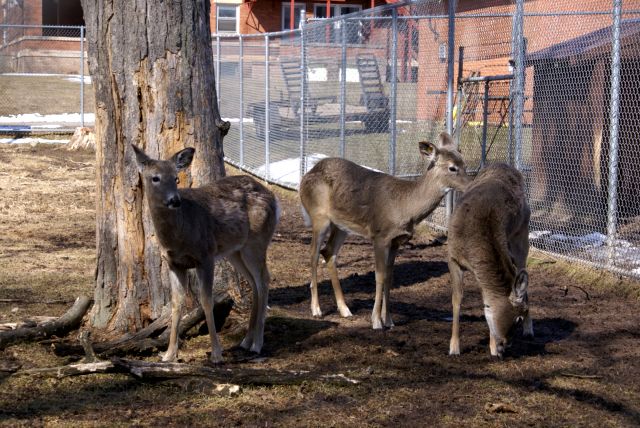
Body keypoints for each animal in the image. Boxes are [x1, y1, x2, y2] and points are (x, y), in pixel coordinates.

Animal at [132, 145, 280, 364]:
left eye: (176, 178)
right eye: (155, 178)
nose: (174, 200)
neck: (178, 235)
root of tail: (274, 199)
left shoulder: (206, 255)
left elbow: (206, 301)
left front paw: (217, 354)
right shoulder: (173, 263)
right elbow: (176, 303)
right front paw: (169, 354)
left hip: (257, 241)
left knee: (264, 280)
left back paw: (257, 344)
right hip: (235, 251)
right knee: (254, 283)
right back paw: (246, 341)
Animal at [299, 132, 471, 329]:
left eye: (465, 164)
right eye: (452, 168)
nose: (470, 184)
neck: (405, 206)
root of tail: (306, 175)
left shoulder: (396, 241)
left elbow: (389, 277)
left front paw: (389, 320)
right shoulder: (379, 236)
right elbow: (379, 276)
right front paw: (376, 321)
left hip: (342, 225)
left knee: (328, 252)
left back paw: (345, 310)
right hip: (319, 216)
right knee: (313, 253)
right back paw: (316, 309)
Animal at [447, 162, 533, 358]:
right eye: (516, 319)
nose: (506, 345)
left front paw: (493, 348)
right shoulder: (453, 257)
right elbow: (457, 299)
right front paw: (454, 348)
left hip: (522, 234)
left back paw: (530, 331)